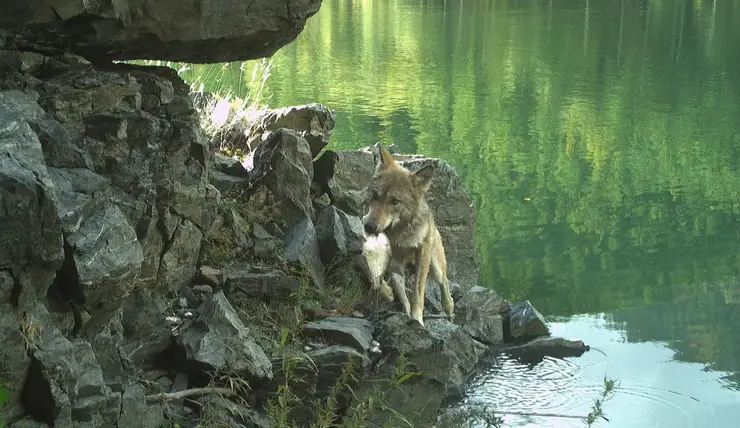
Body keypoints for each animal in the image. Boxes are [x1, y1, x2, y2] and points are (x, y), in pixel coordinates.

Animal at [362, 143, 454, 324]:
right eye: (375, 195)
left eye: (395, 201)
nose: (369, 226)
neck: (400, 234)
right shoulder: (392, 259)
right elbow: (399, 291)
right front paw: (403, 310)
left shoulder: (423, 252)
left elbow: (417, 293)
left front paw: (417, 319)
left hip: (435, 266)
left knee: (445, 283)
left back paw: (449, 308)